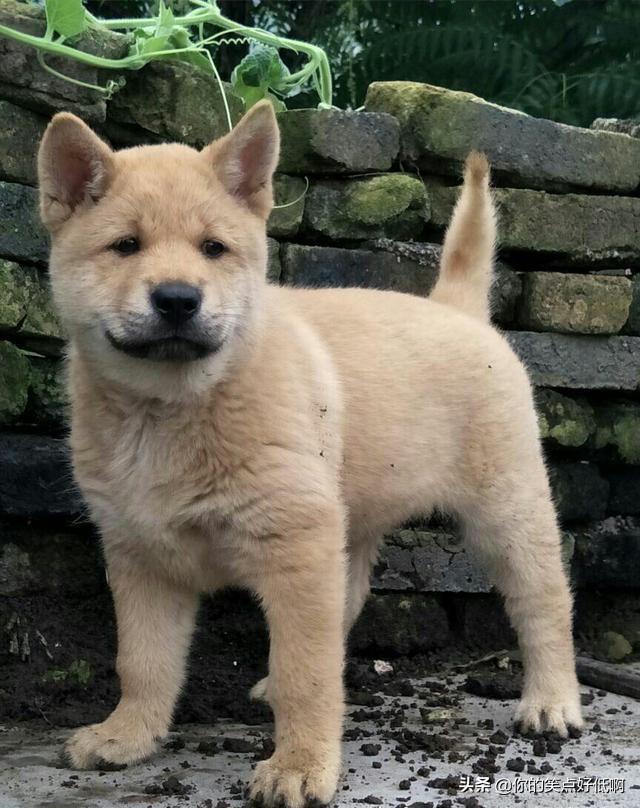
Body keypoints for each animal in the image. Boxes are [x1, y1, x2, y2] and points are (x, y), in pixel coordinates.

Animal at [37, 102, 584, 808]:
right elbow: (144, 660)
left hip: (508, 511)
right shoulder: (142, 556)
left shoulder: (294, 546)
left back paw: (552, 700)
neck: (171, 408)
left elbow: (306, 669)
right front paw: (127, 735)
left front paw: (299, 765)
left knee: (544, 602)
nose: (179, 299)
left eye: (213, 248)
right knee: (344, 604)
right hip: (348, 523)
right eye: (125, 246)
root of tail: (457, 309)